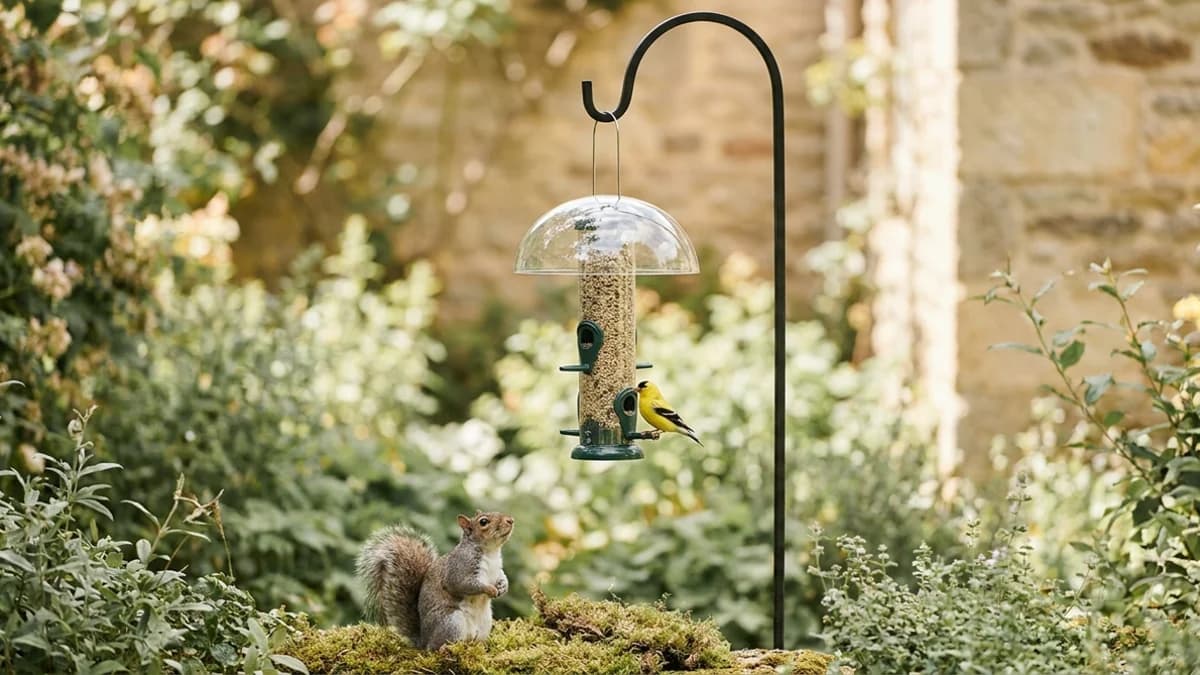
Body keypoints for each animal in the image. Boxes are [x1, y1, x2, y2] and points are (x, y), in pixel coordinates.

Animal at [356, 511, 514, 650]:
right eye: (483, 522)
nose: (510, 520)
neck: (490, 552)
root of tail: (423, 640)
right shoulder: (459, 569)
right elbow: (464, 584)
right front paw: (490, 589)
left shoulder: (497, 569)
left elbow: (502, 577)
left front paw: (503, 587)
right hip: (451, 622)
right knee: (434, 648)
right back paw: (446, 649)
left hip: (484, 624)